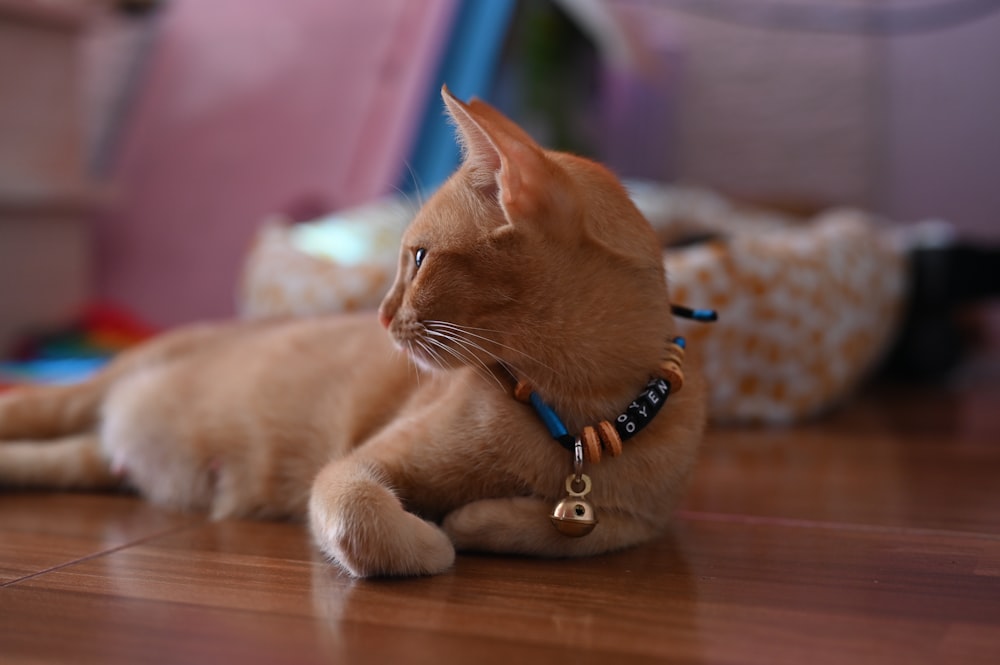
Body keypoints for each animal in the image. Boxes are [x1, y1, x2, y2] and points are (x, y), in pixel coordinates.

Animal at [0, 89, 708, 576]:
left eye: (418, 258)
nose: (381, 314)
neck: (578, 411)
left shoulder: (642, 517)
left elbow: (589, 529)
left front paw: (479, 517)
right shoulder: (356, 466)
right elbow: (364, 518)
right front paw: (433, 538)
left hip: (87, 462)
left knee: (47, 458)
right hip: (89, 392)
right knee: (31, 405)